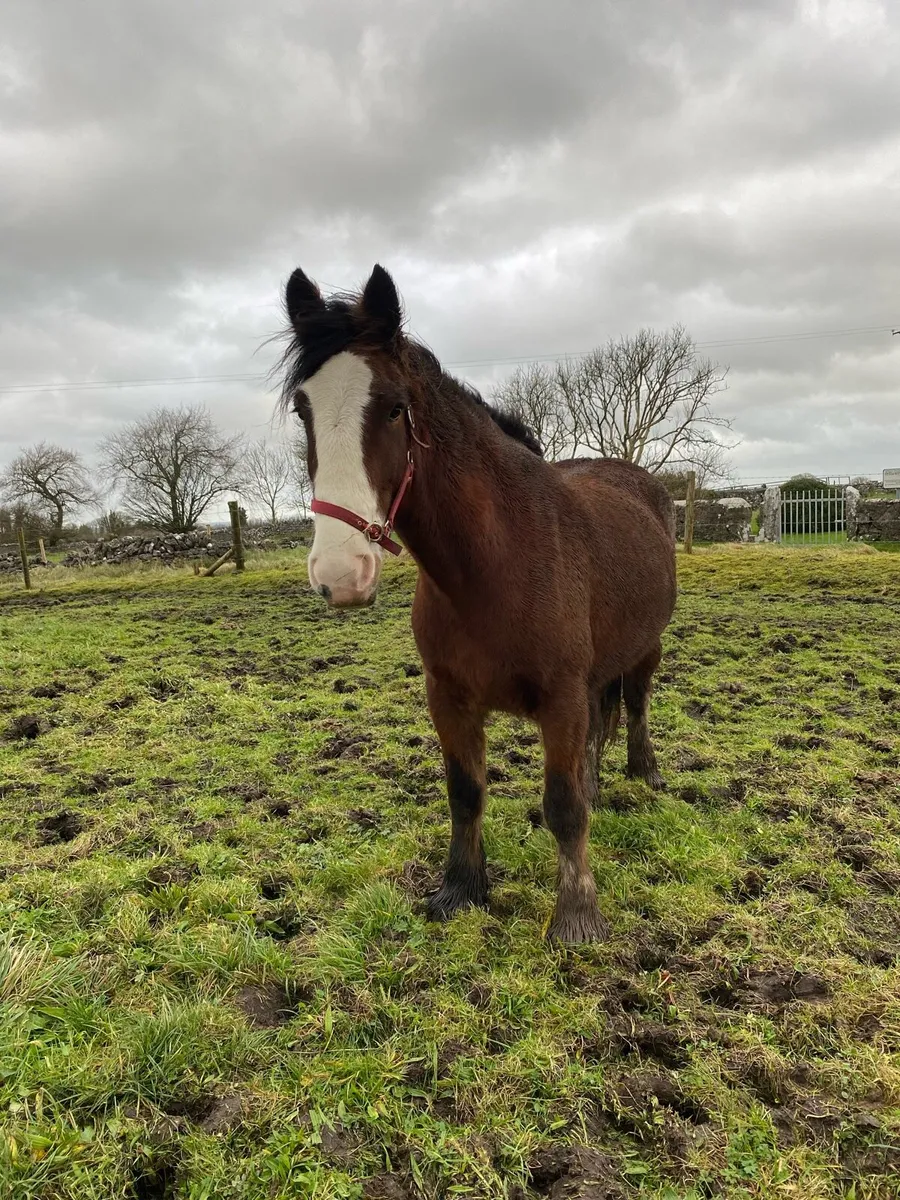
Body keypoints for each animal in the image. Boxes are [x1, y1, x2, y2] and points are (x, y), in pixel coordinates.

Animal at [279, 264, 677, 943]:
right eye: (303, 407)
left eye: (395, 408)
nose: (340, 573)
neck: (496, 565)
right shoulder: (448, 696)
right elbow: (465, 791)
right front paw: (461, 889)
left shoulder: (561, 697)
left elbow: (563, 805)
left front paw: (577, 917)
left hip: (645, 647)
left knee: (636, 704)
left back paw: (643, 772)